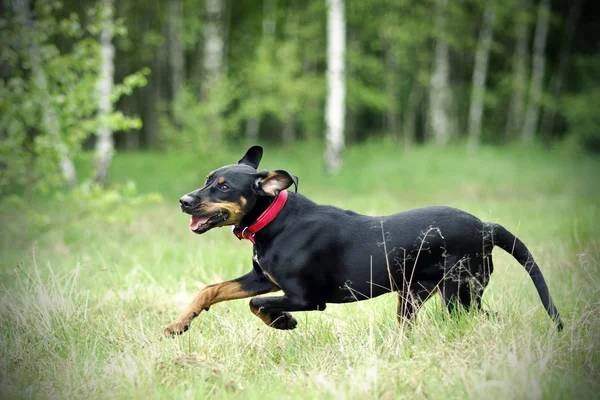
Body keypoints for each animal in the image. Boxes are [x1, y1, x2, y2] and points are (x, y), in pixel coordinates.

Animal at [164, 146, 564, 334]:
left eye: (224, 186)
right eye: (207, 179)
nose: (183, 200)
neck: (274, 219)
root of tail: (486, 226)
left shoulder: (307, 298)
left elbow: (257, 304)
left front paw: (284, 323)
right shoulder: (262, 278)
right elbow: (211, 290)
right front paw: (178, 324)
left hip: (459, 294)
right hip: (417, 294)